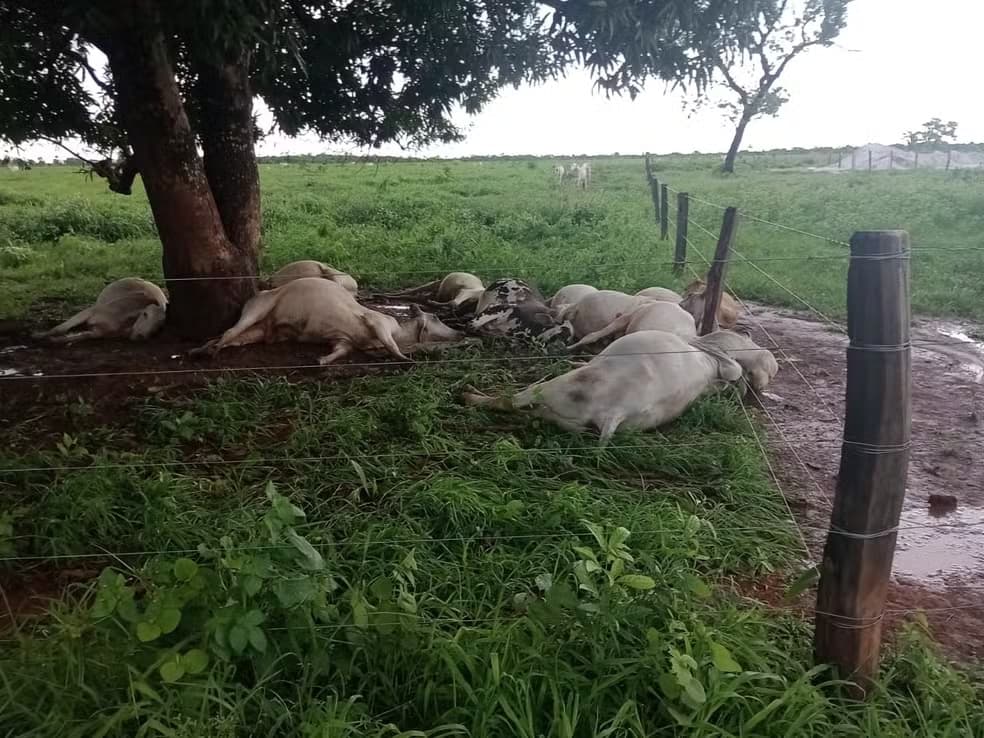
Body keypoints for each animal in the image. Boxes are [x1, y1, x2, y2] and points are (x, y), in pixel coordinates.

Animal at [33, 277, 167, 345]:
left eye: (159, 325)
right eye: (145, 314)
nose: (141, 336)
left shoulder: (97, 333)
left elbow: (77, 337)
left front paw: (55, 340)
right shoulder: (89, 312)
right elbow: (60, 328)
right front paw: (38, 336)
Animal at [190, 278, 462, 364]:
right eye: (435, 317)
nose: (461, 332)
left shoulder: (343, 340)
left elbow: (340, 351)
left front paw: (321, 360)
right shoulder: (378, 322)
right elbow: (391, 346)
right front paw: (405, 358)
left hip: (255, 332)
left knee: (229, 337)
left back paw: (201, 350)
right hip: (257, 310)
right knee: (229, 333)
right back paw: (210, 352)